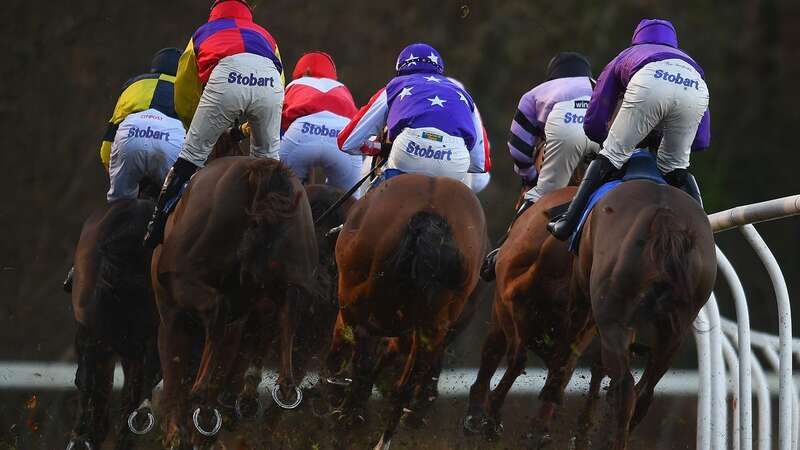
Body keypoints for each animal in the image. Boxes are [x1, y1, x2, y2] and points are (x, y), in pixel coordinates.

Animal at [152, 156, 318, 448]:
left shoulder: (170, 313)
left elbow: (174, 370)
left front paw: (177, 432)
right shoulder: (239, 319)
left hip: (183, 278)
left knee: (216, 313)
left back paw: (201, 394)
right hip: (296, 274)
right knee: (288, 316)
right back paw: (278, 390)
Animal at [324, 174, 488, 448]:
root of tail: (432, 217)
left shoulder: (349, 304)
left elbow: (343, 350)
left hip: (360, 301)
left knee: (363, 357)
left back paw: (349, 413)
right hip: (433, 325)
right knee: (406, 385)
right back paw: (384, 436)